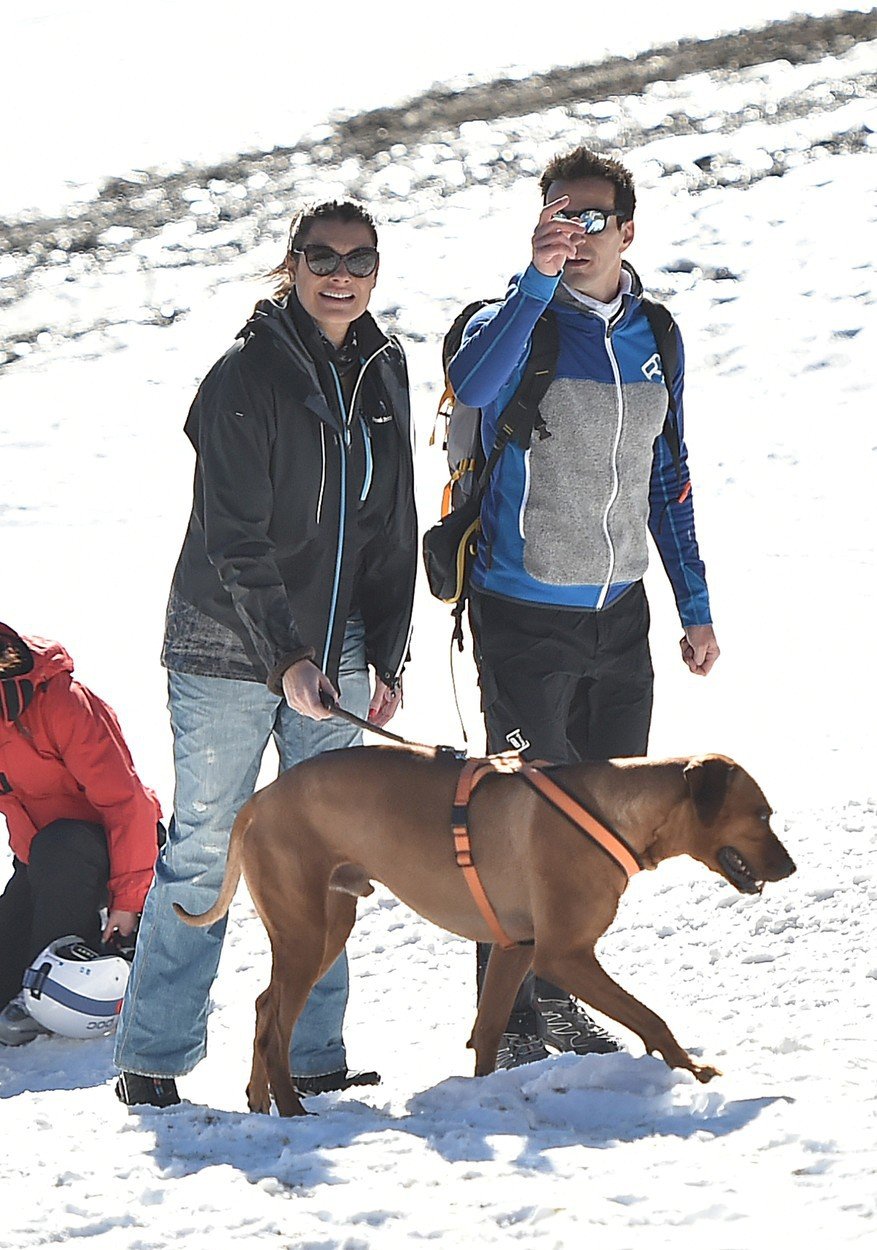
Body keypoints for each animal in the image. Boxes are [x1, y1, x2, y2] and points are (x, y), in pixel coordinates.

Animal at [177, 745, 799, 1120]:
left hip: (328, 924)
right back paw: (291, 1109)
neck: (615, 812)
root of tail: (258, 800)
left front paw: (479, 1097)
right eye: (762, 814)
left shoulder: (513, 949)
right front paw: (693, 1070)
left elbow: (489, 1030)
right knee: (275, 1027)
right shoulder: (563, 956)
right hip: (306, 929)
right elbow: (650, 1016)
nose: (792, 868)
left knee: (265, 1007)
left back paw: (260, 1102)